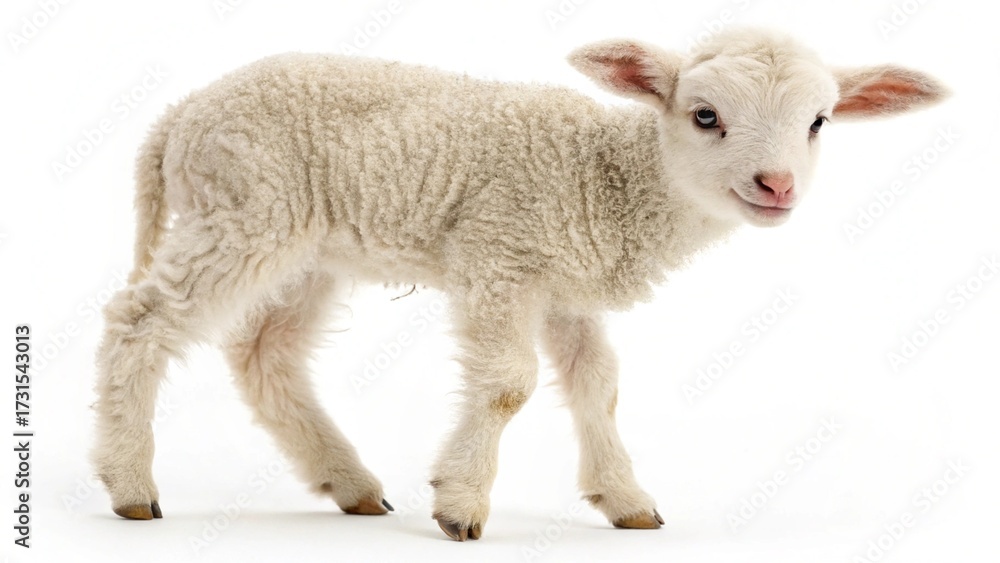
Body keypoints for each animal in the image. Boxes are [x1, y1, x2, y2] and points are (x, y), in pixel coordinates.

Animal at [91, 27, 947, 541]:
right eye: (705, 115)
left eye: (819, 122)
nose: (777, 185)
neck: (609, 174)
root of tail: (176, 118)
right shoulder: (499, 255)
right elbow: (507, 384)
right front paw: (462, 502)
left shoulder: (564, 285)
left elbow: (598, 385)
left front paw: (625, 498)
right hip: (242, 212)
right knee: (139, 320)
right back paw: (130, 482)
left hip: (309, 249)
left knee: (263, 353)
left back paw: (350, 481)